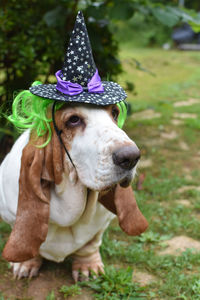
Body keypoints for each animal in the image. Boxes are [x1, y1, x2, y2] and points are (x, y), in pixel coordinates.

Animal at [0, 103, 147, 282]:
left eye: (114, 112)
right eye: (73, 120)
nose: (131, 157)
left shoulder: (102, 222)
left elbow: (90, 243)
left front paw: (88, 267)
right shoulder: (10, 215)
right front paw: (25, 263)